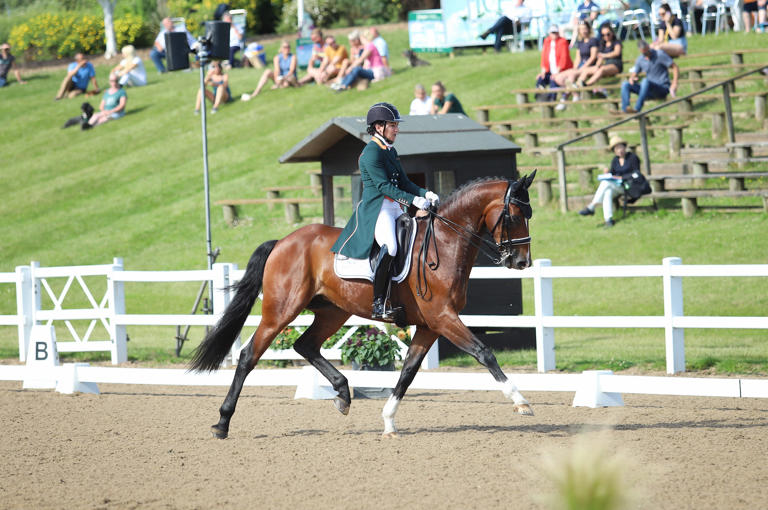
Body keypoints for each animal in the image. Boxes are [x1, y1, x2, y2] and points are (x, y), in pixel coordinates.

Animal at [190, 172, 537, 438]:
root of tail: (283, 241)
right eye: (514, 216)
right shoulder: (443, 317)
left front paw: (388, 422)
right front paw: (521, 402)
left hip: (333, 311)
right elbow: (484, 352)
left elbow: (408, 371)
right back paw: (222, 423)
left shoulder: (430, 325)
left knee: (306, 345)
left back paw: (343, 394)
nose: (521, 262)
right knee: (249, 355)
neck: (445, 242)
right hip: (280, 311)